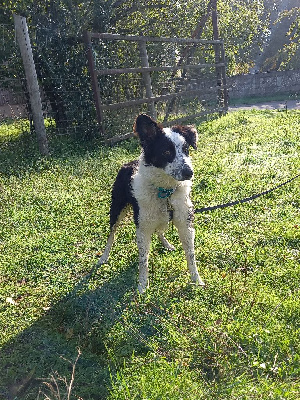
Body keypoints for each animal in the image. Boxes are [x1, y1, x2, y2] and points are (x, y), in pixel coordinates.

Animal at [97, 114, 205, 292]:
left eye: (186, 149)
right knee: (111, 235)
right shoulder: (142, 228)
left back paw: (167, 244)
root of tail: (128, 163)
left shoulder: (185, 223)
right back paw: (104, 256)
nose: (189, 173)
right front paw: (142, 285)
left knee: (160, 230)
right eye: (166, 151)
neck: (165, 192)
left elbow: (191, 255)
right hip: (116, 210)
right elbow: (143, 260)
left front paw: (196, 280)